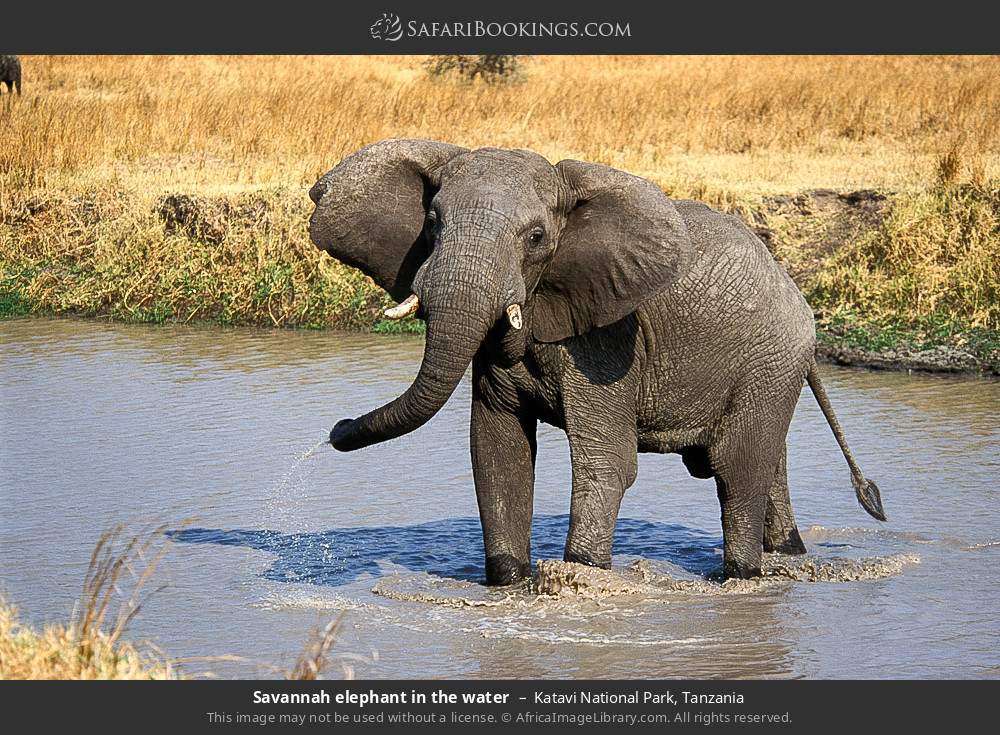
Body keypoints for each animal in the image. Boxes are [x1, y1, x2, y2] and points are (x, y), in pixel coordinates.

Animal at [308, 139, 886, 584]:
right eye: (431, 222)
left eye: (536, 238)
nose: (336, 430)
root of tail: (792, 286)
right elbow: (498, 450)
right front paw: (509, 584)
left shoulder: (610, 341)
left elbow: (606, 461)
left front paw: (581, 573)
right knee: (767, 463)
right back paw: (787, 555)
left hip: (771, 356)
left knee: (736, 467)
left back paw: (739, 576)